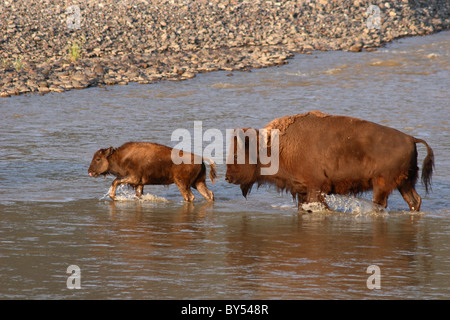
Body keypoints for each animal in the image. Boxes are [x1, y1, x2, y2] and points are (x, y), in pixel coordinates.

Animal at [227, 111, 434, 211]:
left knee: (381, 204)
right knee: (414, 200)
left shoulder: (315, 188)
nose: (228, 177)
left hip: (382, 185)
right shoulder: (302, 190)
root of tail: (411, 138)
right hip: (404, 183)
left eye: (237, 156)